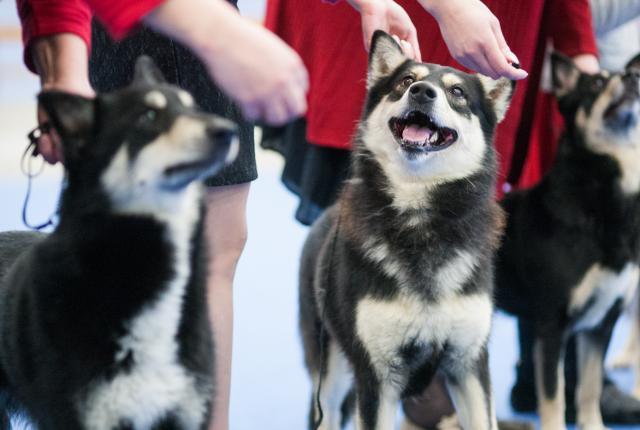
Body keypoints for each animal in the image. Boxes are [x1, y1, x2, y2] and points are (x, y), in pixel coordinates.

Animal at [298, 31, 516, 430]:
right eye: (405, 82)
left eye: (457, 92)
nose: (422, 92)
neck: (419, 223)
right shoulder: (377, 377)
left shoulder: (470, 364)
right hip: (330, 373)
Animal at [496, 51, 640, 430]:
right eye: (596, 83)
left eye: (632, 75)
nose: (632, 78)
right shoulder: (552, 324)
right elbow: (554, 397)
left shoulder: (601, 323)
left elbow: (588, 389)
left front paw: (593, 424)